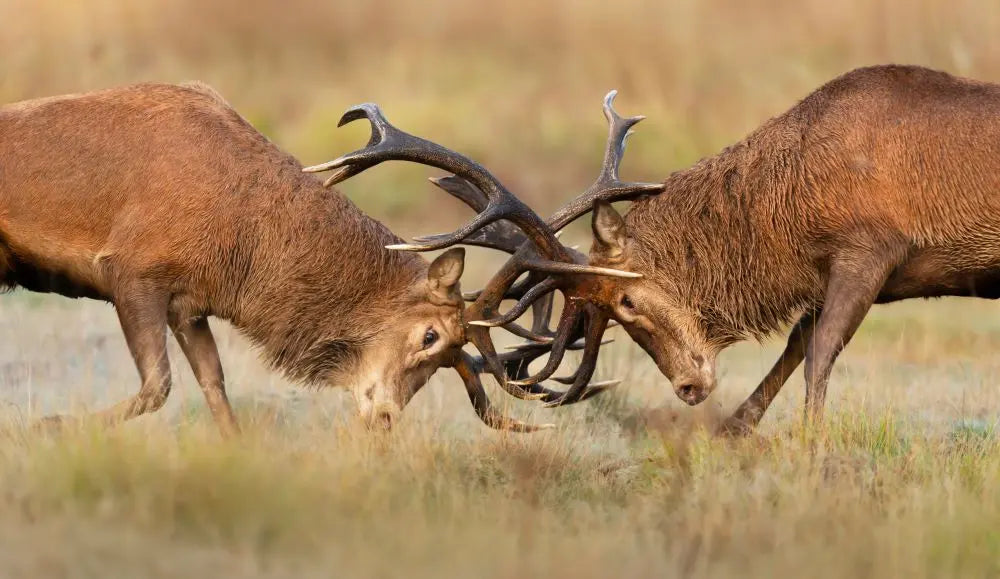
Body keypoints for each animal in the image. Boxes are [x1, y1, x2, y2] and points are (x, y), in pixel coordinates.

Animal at [0, 80, 564, 436]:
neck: (242, 248)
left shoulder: (188, 305)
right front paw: (43, 426)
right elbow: (158, 386)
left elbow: (216, 391)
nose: (385, 418)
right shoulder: (131, 269)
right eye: (431, 336)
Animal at [322, 65, 1000, 432]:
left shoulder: (870, 247)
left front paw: (813, 444)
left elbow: (819, 352)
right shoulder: (847, 269)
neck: (792, 211)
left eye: (624, 302)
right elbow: (799, 340)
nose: (689, 388)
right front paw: (733, 431)